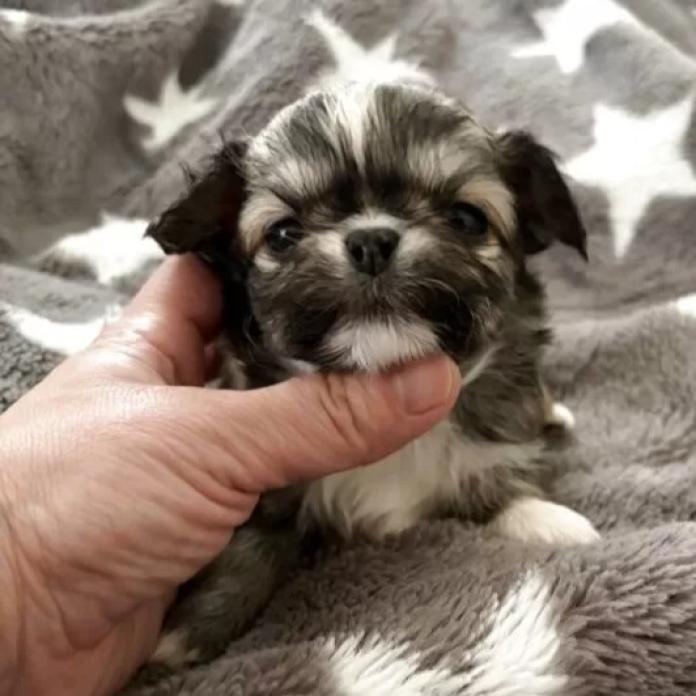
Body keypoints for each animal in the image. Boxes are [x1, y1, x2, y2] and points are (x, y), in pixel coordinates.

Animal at [143, 69, 598, 670]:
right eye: (283, 234)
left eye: (467, 218)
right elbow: (251, 542)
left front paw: (549, 522)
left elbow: (497, 483)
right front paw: (191, 628)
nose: (371, 240)